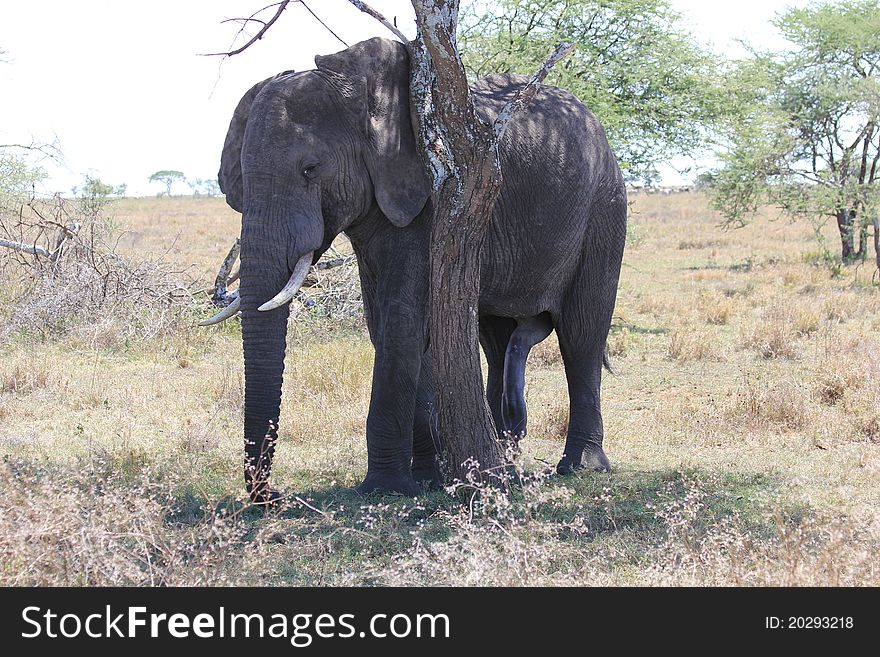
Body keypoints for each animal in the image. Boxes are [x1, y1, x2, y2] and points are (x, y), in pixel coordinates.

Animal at [203, 38, 624, 500]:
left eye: (310, 169)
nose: (273, 496)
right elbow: (389, 324)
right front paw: (427, 479)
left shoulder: (434, 197)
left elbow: (402, 322)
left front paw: (385, 489)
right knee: (496, 339)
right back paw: (505, 462)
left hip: (605, 208)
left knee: (582, 335)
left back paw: (580, 467)